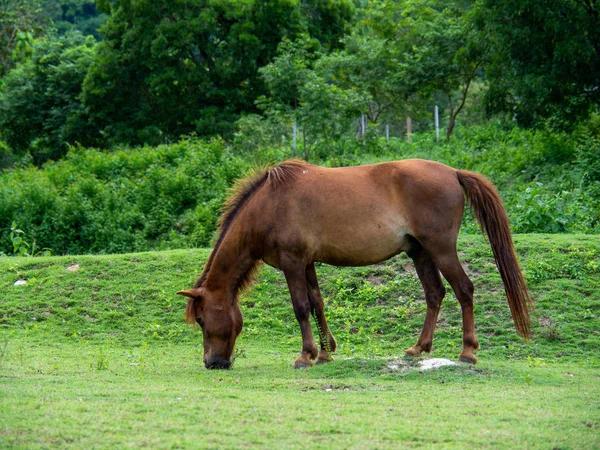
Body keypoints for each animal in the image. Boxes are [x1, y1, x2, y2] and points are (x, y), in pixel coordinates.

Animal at [176, 159, 532, 370]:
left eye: (203, 321)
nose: (212, 363)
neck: (269, 204)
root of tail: (454, 173)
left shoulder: (293, 263)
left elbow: (300, 308)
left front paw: (305, 356)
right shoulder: (307, 263)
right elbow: (317, 304)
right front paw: (325, 352)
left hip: (441, 249)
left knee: (464, 290)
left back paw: (468, 351)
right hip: (420, 252)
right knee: (435, 294)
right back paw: (418, 348)